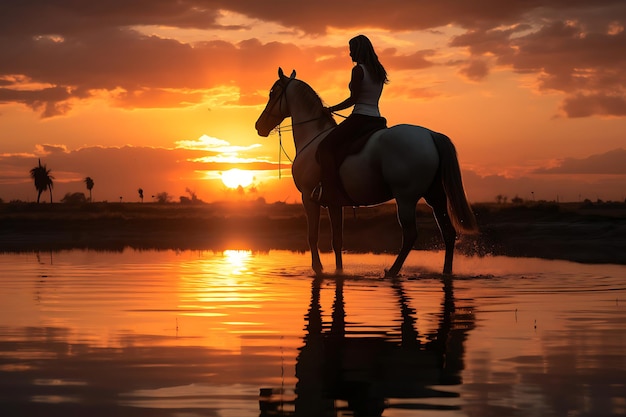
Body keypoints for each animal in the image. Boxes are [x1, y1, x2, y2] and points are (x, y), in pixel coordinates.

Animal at [256, 68, 476, 276]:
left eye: (272, 93)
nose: (259, 126)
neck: (312, 137)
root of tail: (430, 135)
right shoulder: (334, 202)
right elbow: (337, 240)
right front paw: (339, 271)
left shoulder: (308, 197)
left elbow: (312, 236)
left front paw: (318, 269)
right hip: (435, 196)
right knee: (448, 232)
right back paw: (446, 272)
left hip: (406, 198)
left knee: (410, 234)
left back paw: (392, 271)